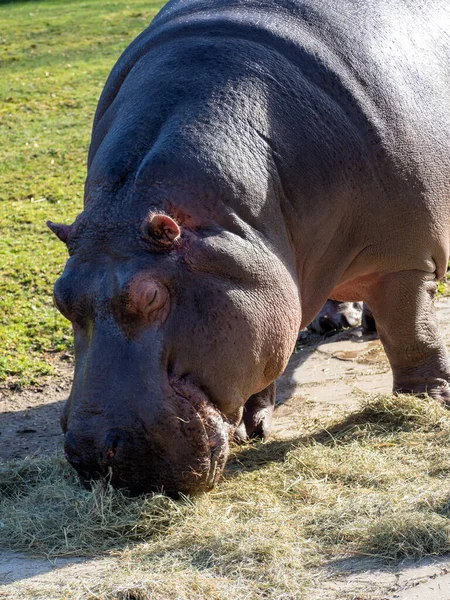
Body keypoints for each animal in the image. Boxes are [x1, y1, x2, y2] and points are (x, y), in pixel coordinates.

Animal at [47, 0, 448, 496]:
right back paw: (338, 323)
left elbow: (412, 334)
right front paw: (249, 427)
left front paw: (425, 403)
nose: (93, 454)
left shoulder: (403, 260)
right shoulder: (261, 279)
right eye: (59, 297)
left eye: (151, 295)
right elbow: (266, 348)